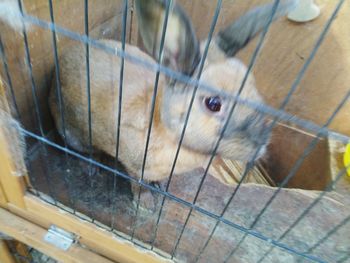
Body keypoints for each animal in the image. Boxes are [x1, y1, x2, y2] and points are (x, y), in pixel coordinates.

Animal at [48, 0, 296, 210]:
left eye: (252, 85)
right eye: (213, 103)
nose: (261, 145)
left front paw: (159, 188)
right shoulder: (134, 164)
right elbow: (137, 184)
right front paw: (146, 204)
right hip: (74, 132)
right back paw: (91, 167)